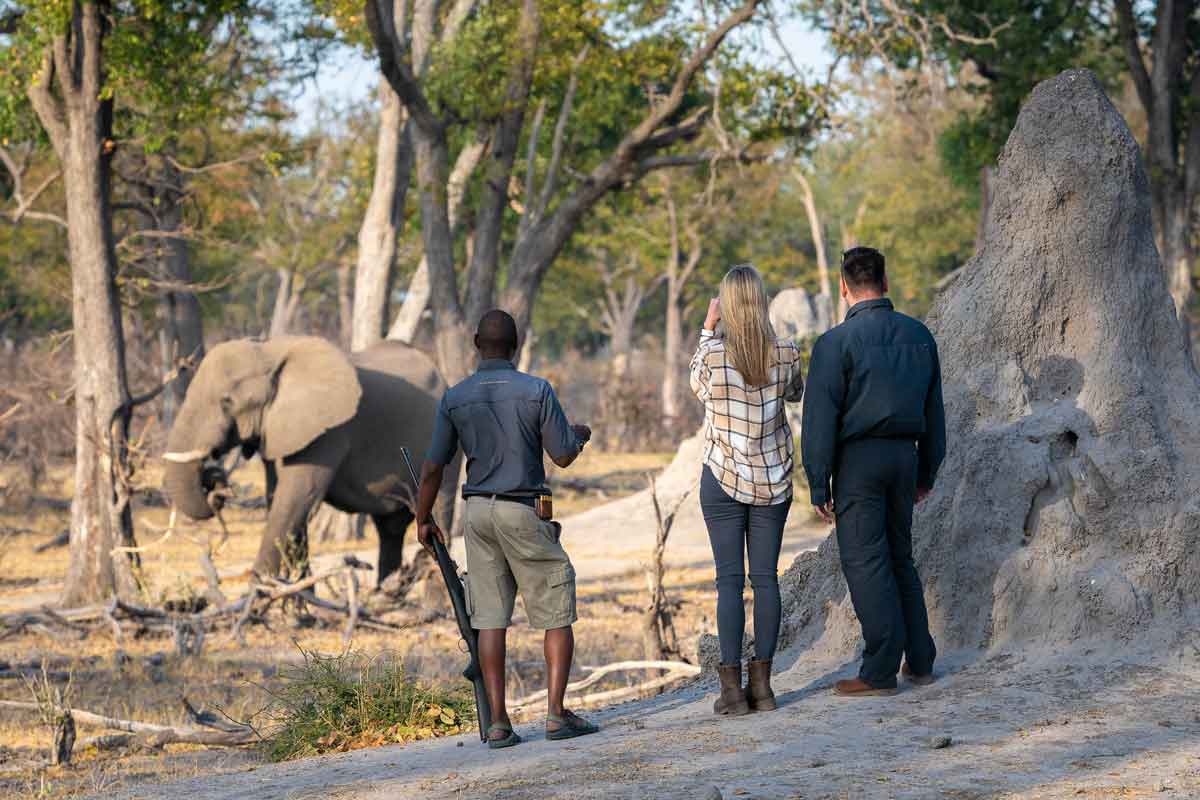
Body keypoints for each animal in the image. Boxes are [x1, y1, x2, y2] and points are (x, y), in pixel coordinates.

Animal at [162, 335, 456, 585]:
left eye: (226, 401)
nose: (215, 484)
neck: (270, 350)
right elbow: (281, 501)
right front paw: (297, 597)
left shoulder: (328, 431)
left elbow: (295, 499)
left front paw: (259, 594)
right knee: (390, 529)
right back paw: (385, 590)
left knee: (436, 512)